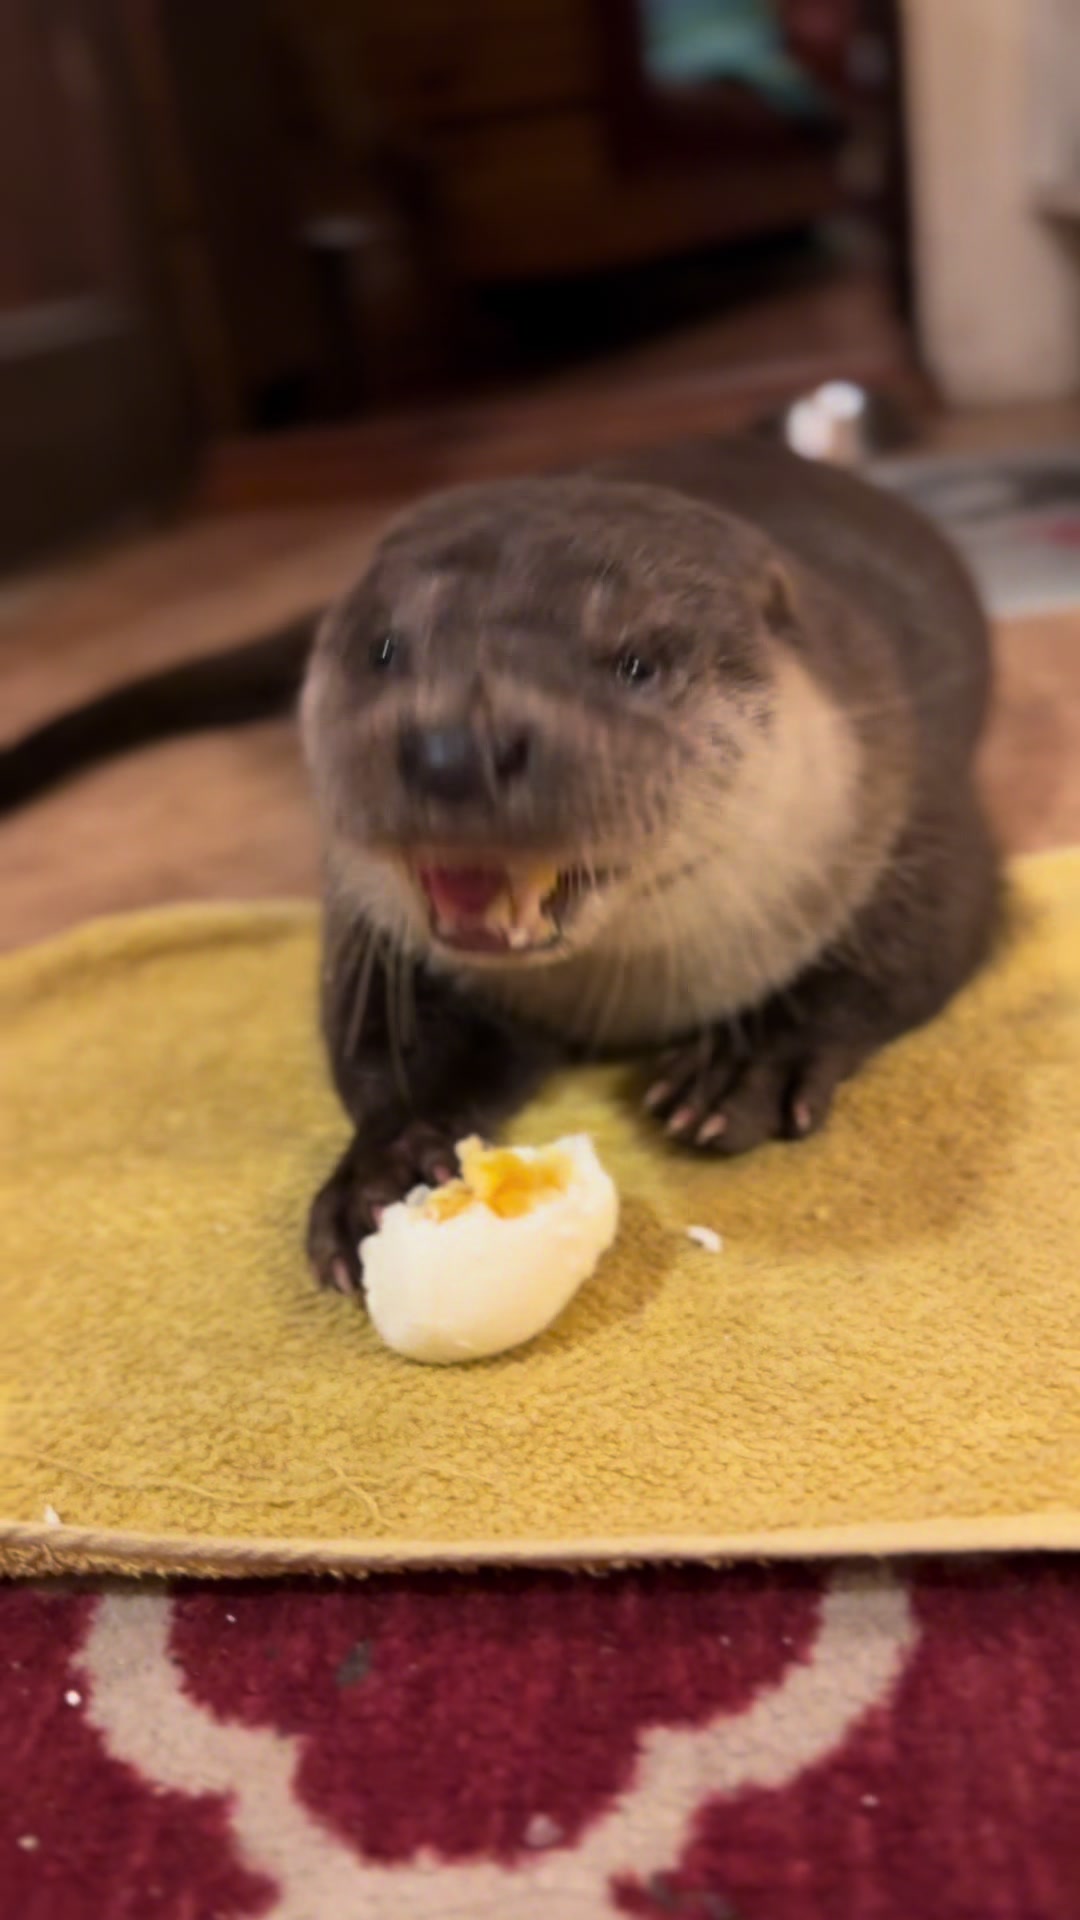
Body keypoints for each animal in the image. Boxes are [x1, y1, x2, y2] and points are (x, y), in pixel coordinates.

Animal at [1, 439, 998, 1293]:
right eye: (385, 649)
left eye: (635, 663)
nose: (456, 748)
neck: (627, 998)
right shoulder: (367, 925)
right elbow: (378, 1045)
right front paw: (386, 1167)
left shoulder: (910, 803)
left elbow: (902, 954)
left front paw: (749, 1061)